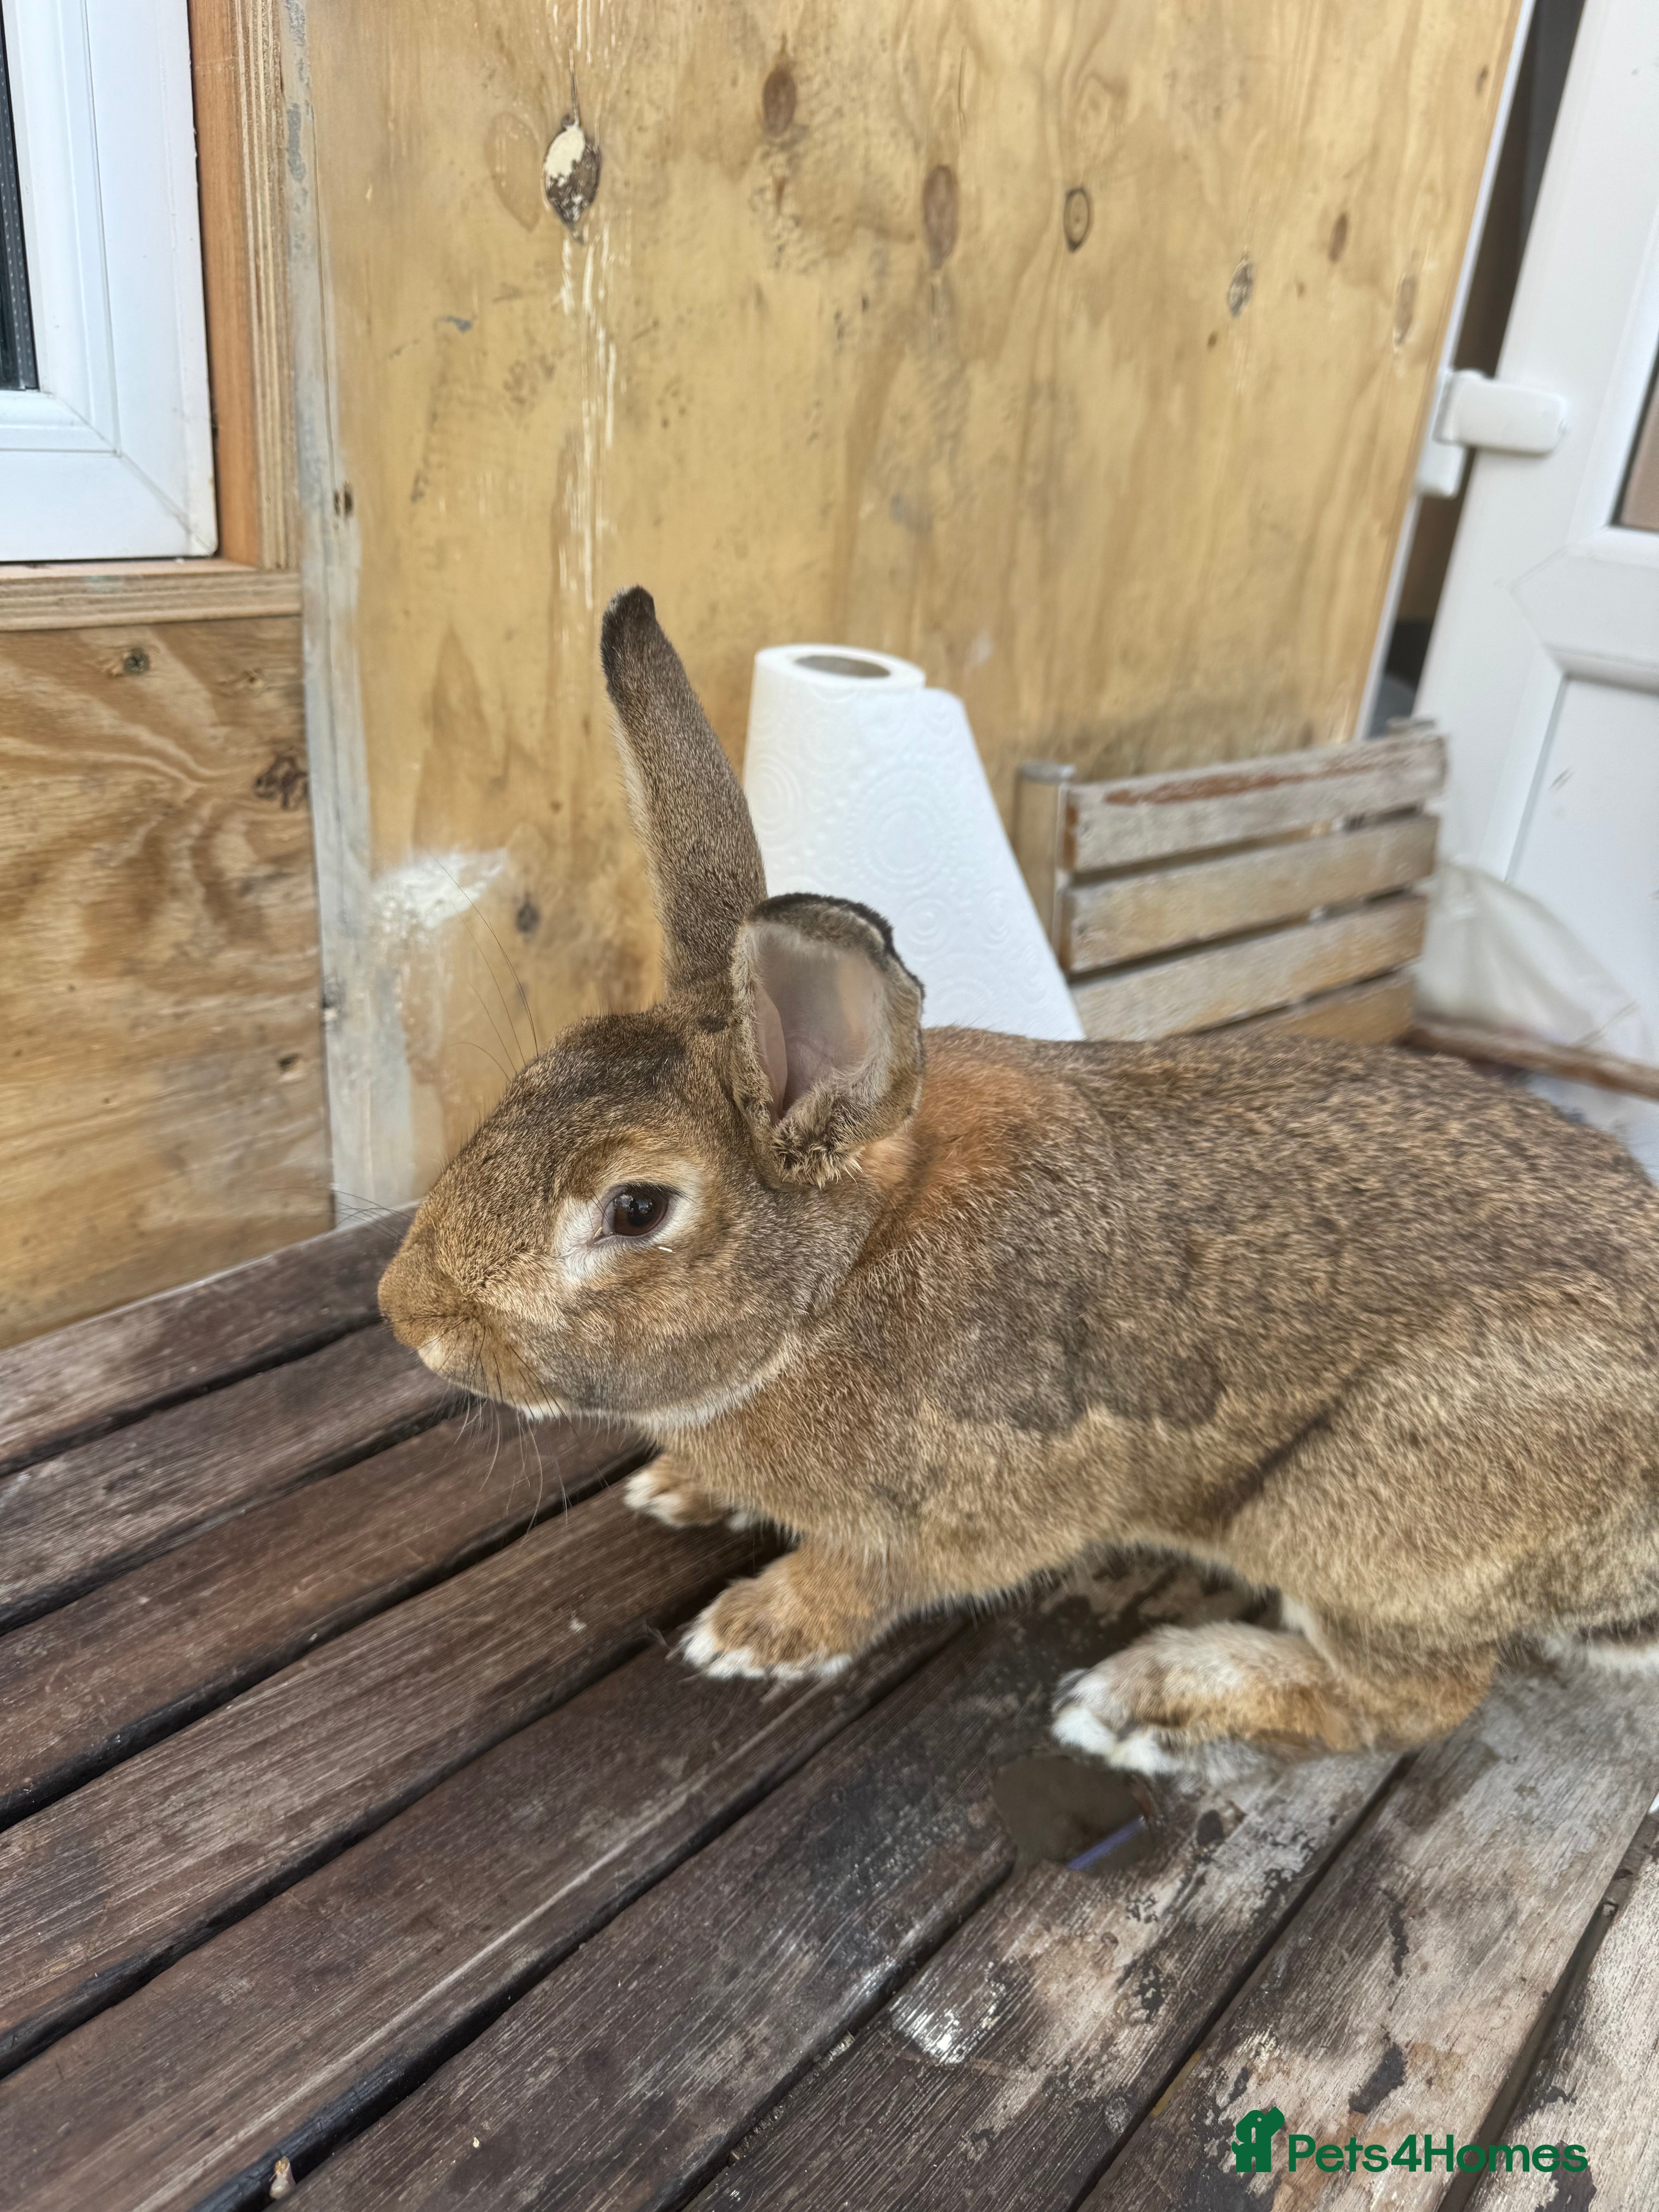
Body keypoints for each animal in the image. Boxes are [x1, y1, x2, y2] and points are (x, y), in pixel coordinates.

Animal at [379, 585, 1659, 1780]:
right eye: (533, 1075)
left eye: (636, 1209)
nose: (407, 1318)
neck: (837, 1282)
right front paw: (681, 1489)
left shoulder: (953, 1517)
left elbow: (864, 1578)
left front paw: (754, 1630)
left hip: (1353, 1519)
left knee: (1416, 1700)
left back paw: (1145, 1699)